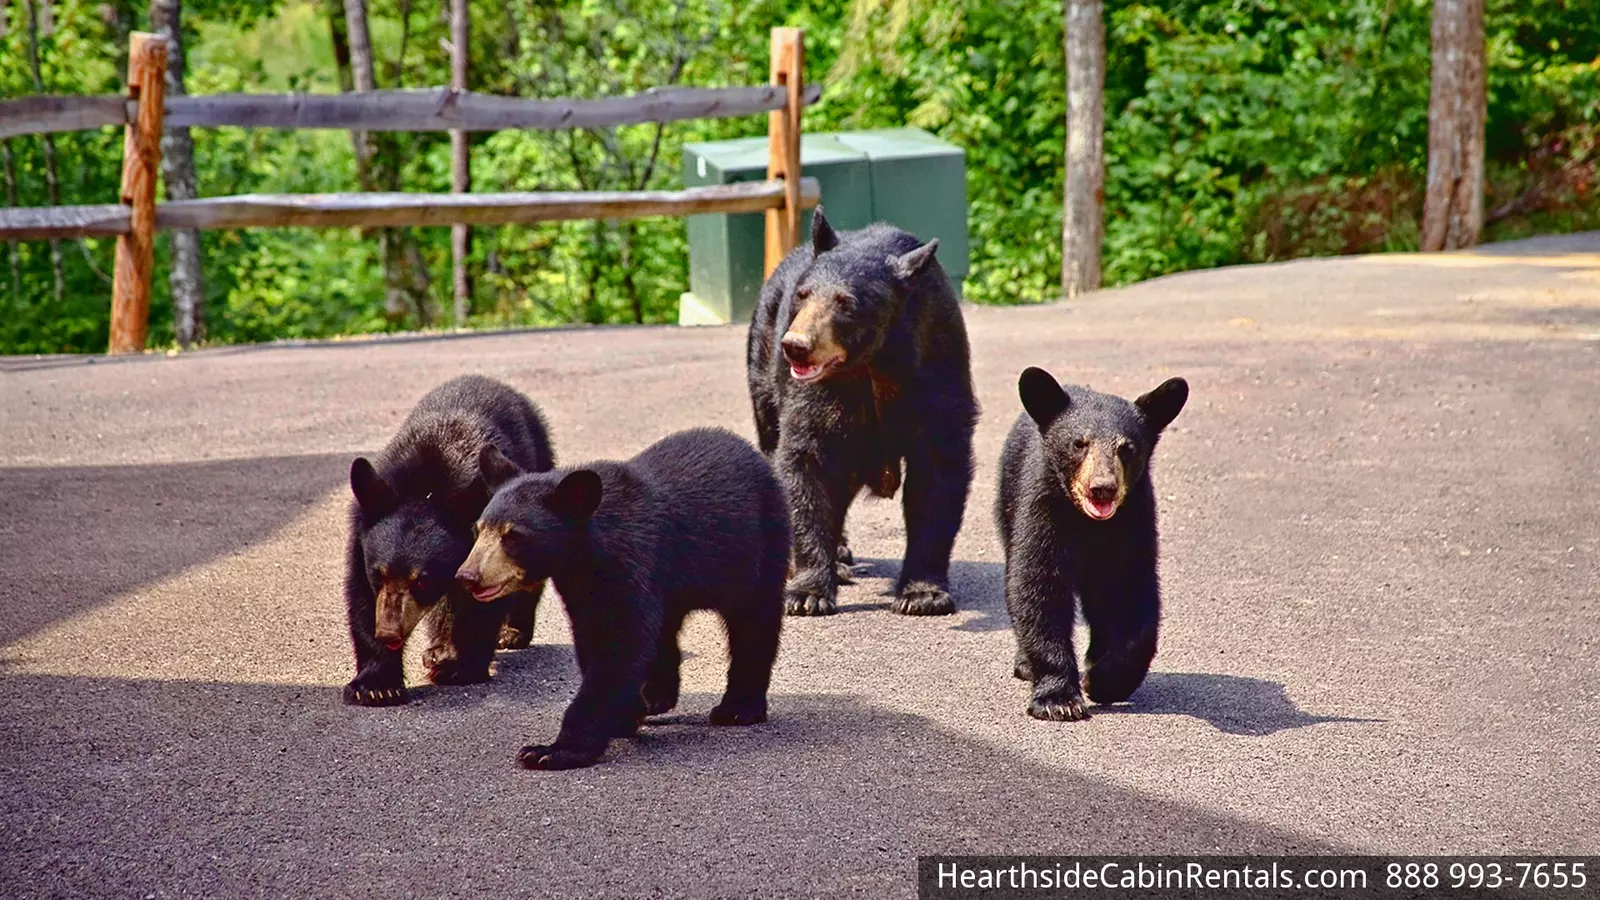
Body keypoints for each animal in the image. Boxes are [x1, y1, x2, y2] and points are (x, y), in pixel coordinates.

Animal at [345, 374, 556, 704]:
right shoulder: (361, 534)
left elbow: (483, 600)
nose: (390, 634)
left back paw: (511, 632)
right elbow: (361, 597)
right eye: (379, 574)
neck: (426, 489)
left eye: (422, 580)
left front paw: (459, 667)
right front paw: (377, 685)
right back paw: (437, 649)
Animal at [457, 422, 787, 768]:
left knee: (754, 622)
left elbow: (620, 646)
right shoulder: (582, 587)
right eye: (478, 529)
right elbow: (594, 639)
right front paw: (625, 715)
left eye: (514, 536)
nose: (468, 576)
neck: (586, 556)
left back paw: (737, 708)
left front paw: (551, 750)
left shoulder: (634, 562)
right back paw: (657, 696)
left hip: (759, 547)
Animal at [745, 209, 972, 614]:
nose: (796, 346)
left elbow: (937, 475)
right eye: (802, 295)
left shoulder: (938, 370)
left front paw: (923, 594)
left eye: (845, 302)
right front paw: (808, 592)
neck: (873, 365)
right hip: (763, 368)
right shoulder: (816, 394)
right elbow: (805, 460)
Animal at [998, 360, 1190, 717]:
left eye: (1127, 448)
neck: (1090, 524)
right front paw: (1058, 699)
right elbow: (1038, 586)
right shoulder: (1042, 509)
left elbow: (1131, 594)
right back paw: (1025, 663)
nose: (1103, 488)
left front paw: (1104, 678)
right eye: (1079, 443)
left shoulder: (1134, 521)